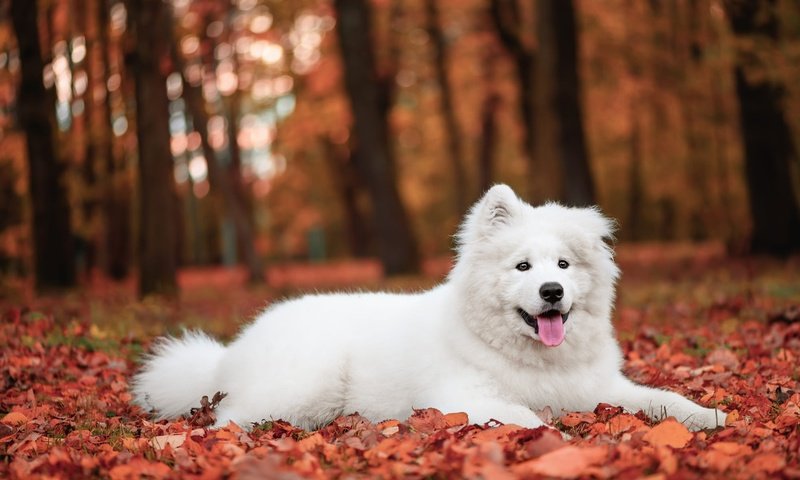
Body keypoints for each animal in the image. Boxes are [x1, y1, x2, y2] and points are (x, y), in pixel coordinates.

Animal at [134, 185, 728, 432]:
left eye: (562, 265)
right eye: (522, 267)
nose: (552, 293)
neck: (535, 359)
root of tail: (227, 354)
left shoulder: (601, 388)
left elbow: (664, 399)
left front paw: (712, 416)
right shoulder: (464, 397)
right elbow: (525, 416)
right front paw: (555, 438)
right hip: (305, 386)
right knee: (227, 420)